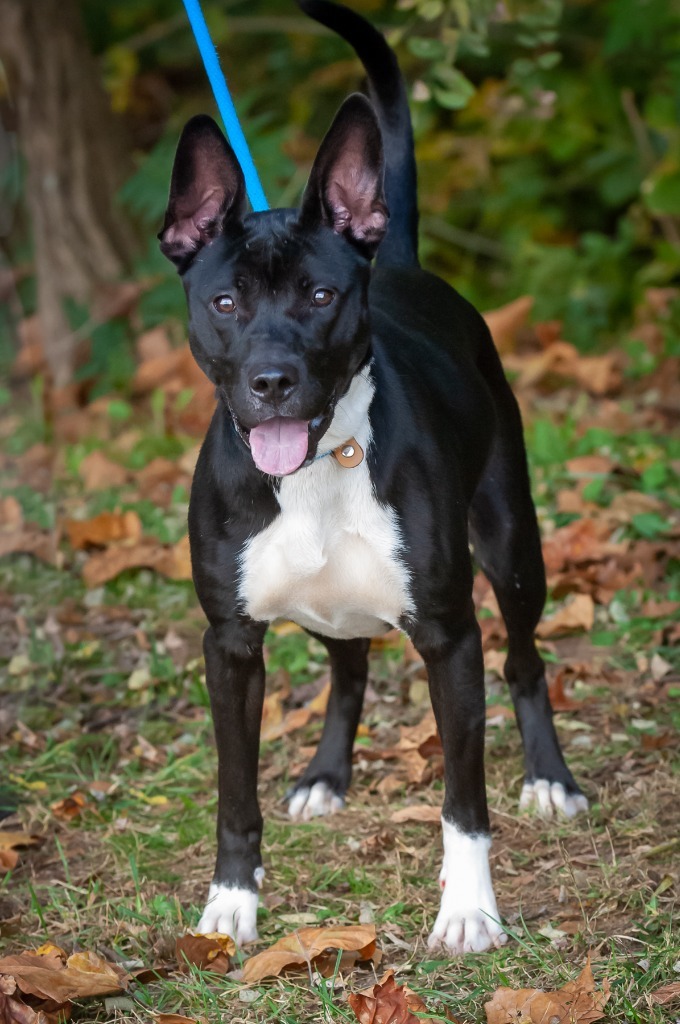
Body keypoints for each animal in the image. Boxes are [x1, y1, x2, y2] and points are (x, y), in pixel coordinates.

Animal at [157, 2, 585, 958]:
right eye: (225, 303)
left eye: (320, 296)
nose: (272, 381)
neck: (319, 466)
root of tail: (403, 260)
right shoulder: (228, 646)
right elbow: (233, 794)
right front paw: (231, 901)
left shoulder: (450, 638)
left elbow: (464, 801)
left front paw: (469, 910)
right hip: (329, 604)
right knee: (348, 668)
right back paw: (326, 775)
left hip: (514, 545)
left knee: (527, 659)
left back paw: (550, 778)